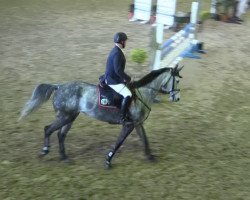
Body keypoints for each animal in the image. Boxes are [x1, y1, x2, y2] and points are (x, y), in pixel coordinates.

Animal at [20, 65, 184, 168]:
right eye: (177, 80)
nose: (177, 98)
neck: (142, 94)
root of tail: (59, 86)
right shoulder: (129, 125)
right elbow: (118, 143)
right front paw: (108, 160)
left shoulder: (137, 123)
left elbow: (145, 139)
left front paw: (150, 156)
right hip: (64, 117)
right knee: (48, 129)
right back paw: (45, 151)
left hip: (70, 117)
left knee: (61, 135)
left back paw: (64, 157)